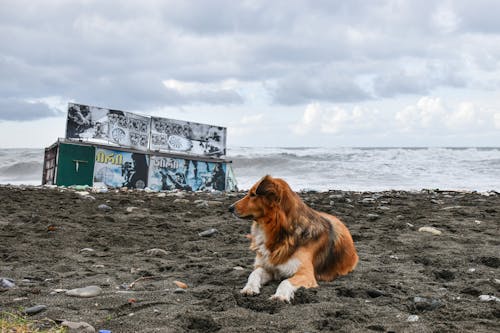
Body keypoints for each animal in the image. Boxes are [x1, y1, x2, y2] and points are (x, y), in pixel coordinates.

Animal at [229, 175, 358, 302]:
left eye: (253, 194)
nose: (229, 208)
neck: (280, 234)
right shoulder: (267, 267)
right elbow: (253, 274)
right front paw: (249, 288)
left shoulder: (306, 274)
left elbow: (284, 282)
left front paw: (280, 296)